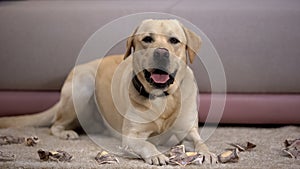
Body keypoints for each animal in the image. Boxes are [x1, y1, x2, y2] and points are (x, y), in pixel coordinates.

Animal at [0, 18, 216, 165]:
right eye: (147, 39)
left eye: (174, 41)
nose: (161, 53)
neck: (162, 97)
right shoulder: (132, 136)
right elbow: (147, 144)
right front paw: (156, 154)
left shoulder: (188, 130)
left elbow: (200, 142)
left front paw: (207, 153)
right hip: (83, 87)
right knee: (55, 124)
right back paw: (66, 133)